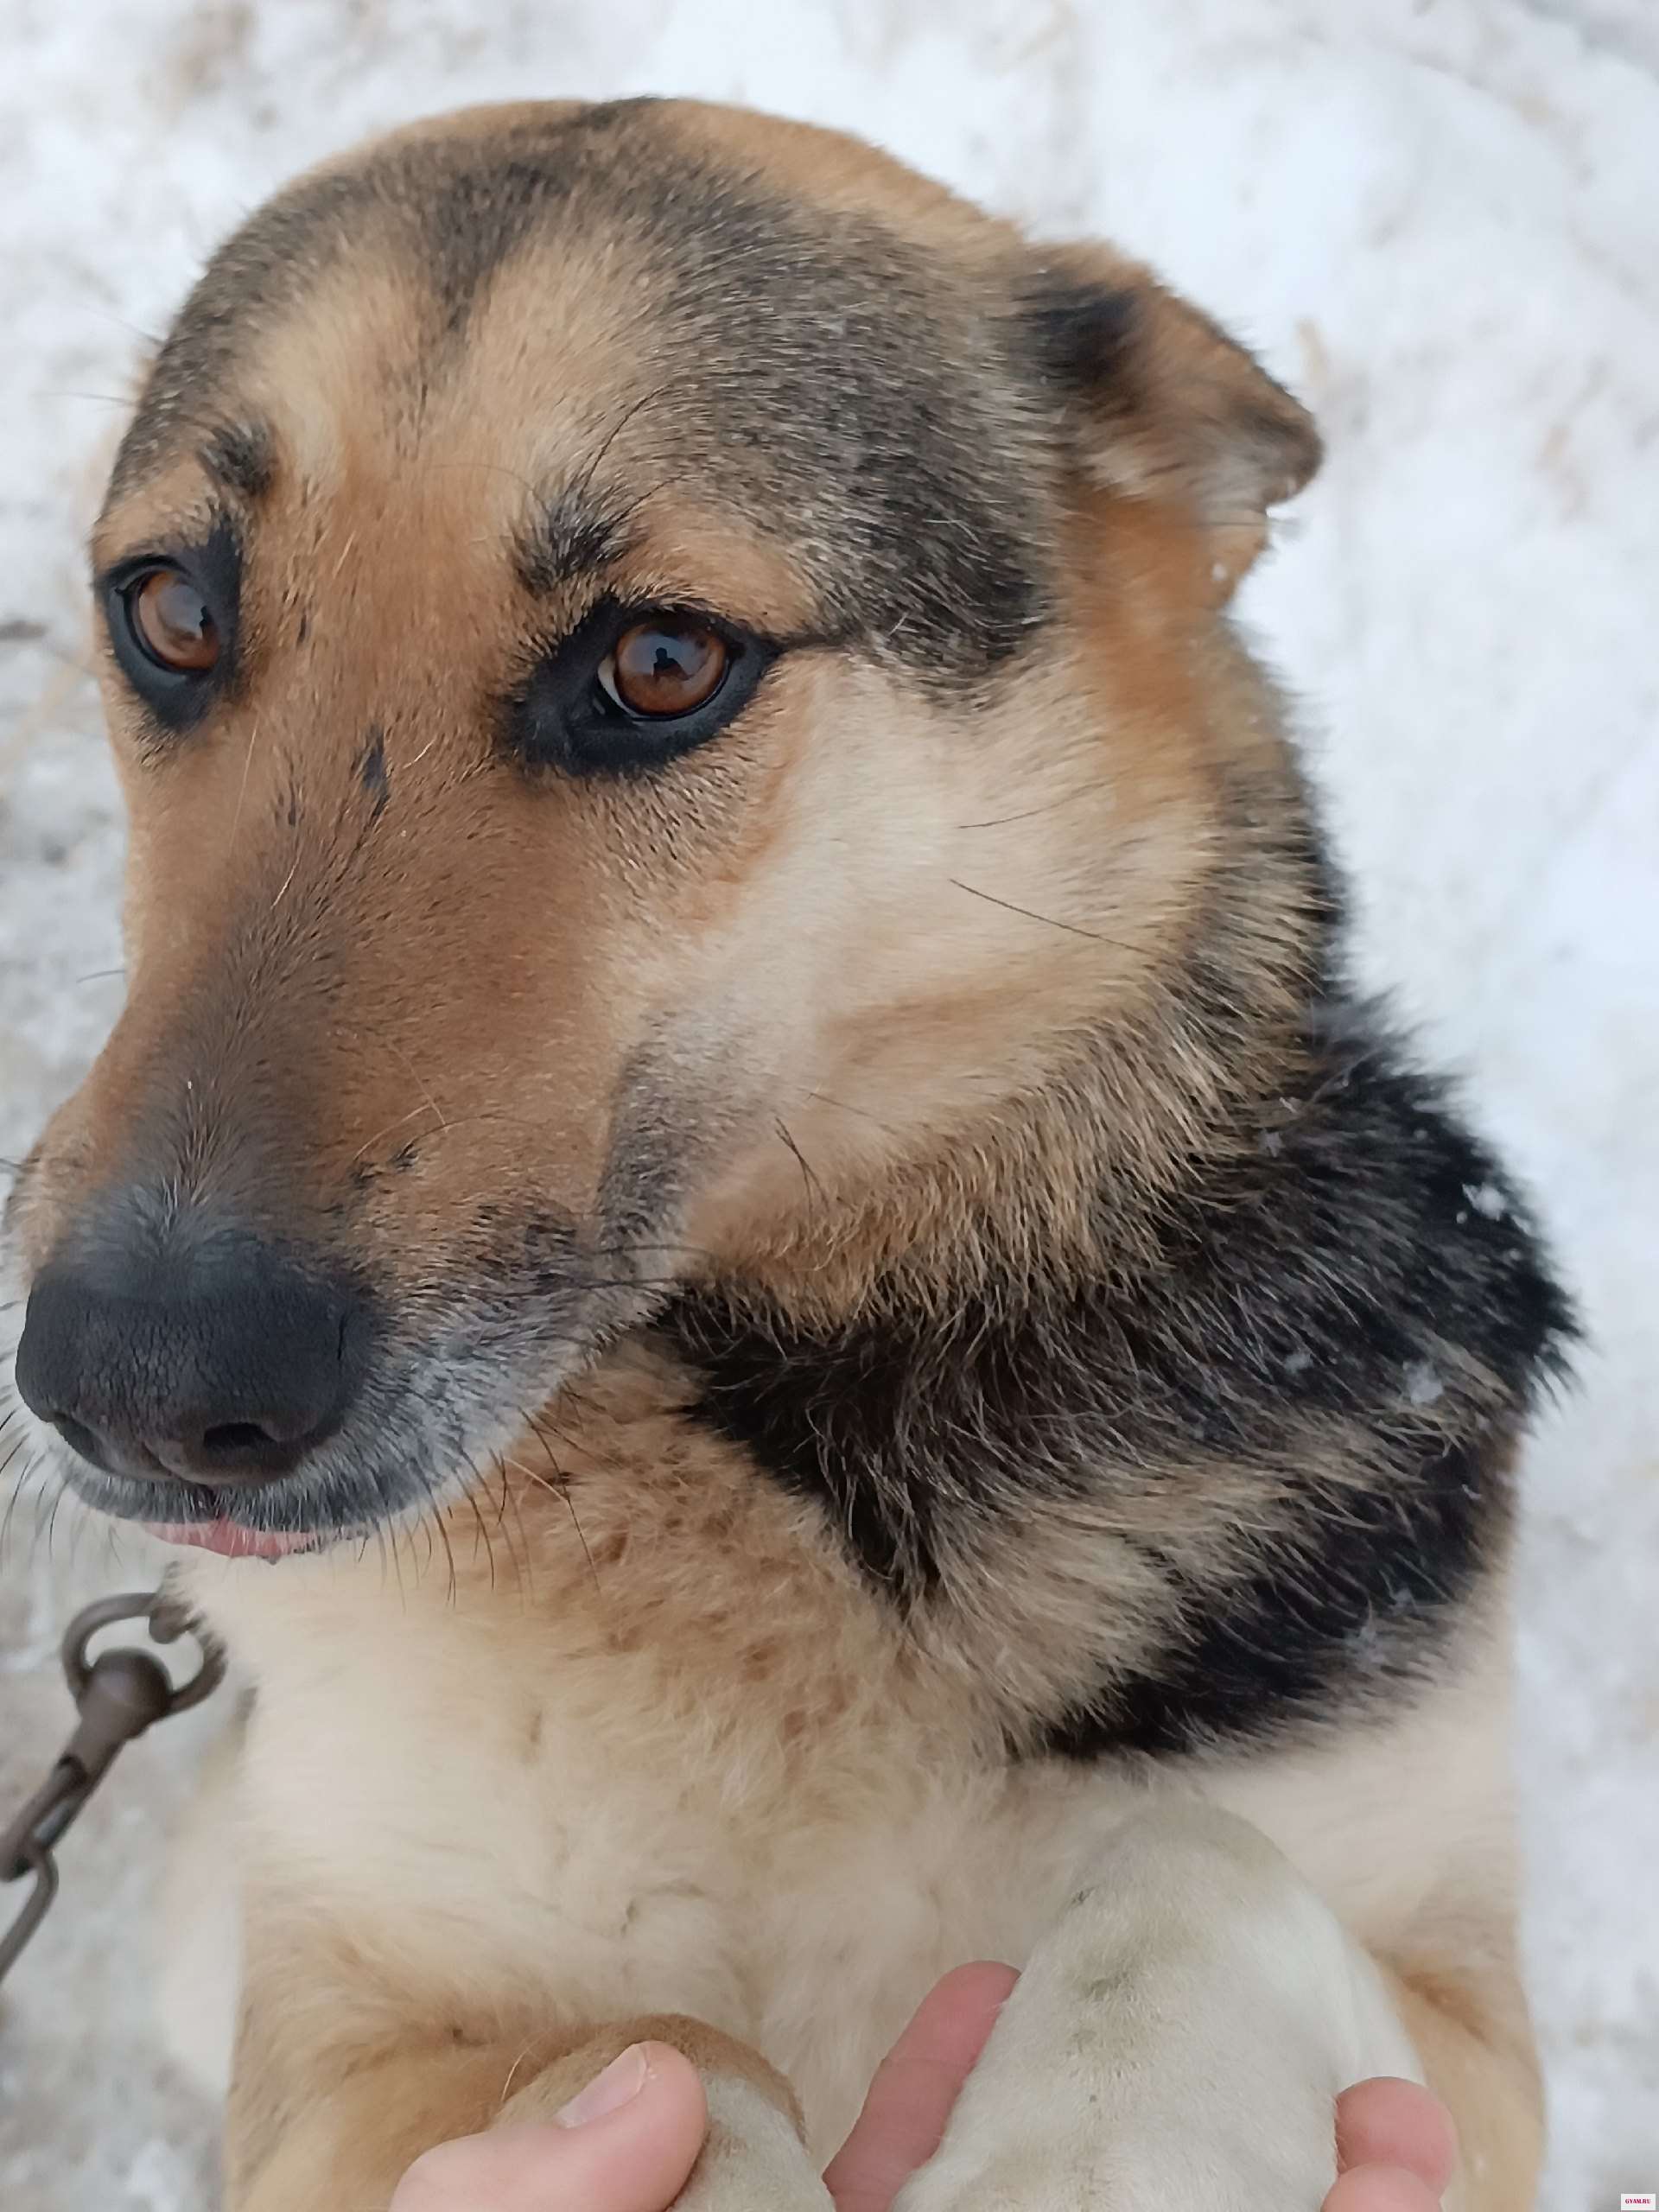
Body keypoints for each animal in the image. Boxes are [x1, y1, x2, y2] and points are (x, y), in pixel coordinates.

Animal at [5, 99, 1571, 2209]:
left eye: (664, 661)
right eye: (172, 612)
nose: (140, 1387)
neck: (801, 1440)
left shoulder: (1462, 2023)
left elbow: (1195, 1861)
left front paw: (1090, 2153)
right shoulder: (362, 2038)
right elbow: (646, 2038)